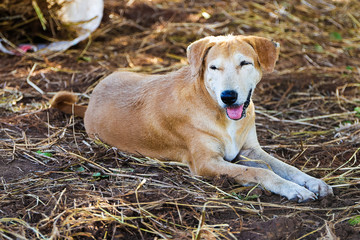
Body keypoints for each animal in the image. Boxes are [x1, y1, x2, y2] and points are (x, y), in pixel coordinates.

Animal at [50, 34, 332, 202]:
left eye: (245, 63)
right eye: (213, 67)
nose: (228, 96)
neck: (216, 109)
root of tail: (89, 103)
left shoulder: (250, 150)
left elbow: (287, 167)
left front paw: (313, 183)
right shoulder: (206, 163)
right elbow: (259, 173)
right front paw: (293, 189)